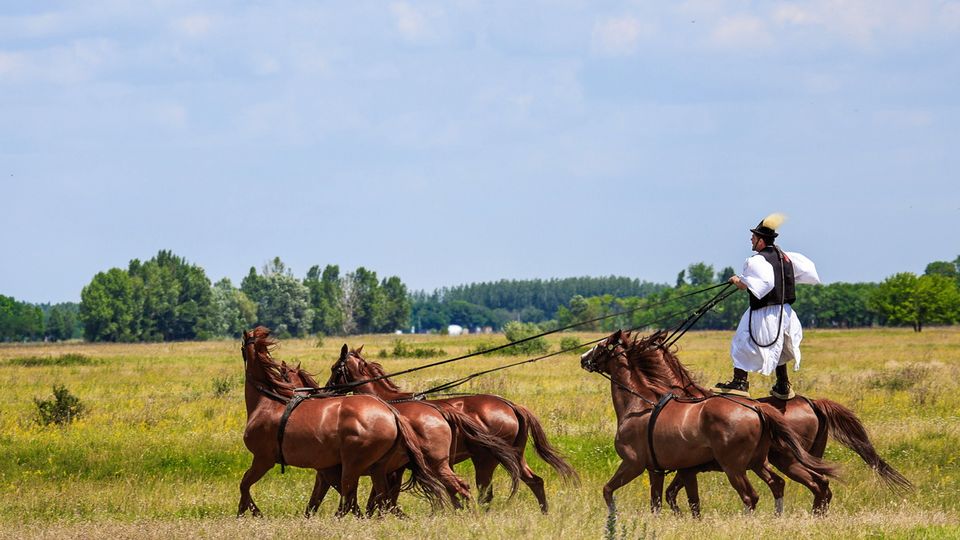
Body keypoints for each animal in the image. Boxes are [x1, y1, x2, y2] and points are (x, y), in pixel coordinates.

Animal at [240, 326, 450, 516]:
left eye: (335, 368)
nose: (329, 388)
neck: (268, 401)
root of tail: (392, 414)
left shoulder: (264, 459)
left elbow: (244, 484)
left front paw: (248, 513)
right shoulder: (324, 471)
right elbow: (319, 502)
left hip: (356, 466)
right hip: (378, 468)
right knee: (381, 498)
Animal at [326, 344, 576, 512]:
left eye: (335, 368)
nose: (327, 390)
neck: (390, 404)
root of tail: (511, 406)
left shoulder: (395, 467)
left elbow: (382, 495)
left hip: (486, 459)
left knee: (485, 492)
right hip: (514, 456)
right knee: (534, 481)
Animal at [572, 330, 836, 516]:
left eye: (603, 345)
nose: (583, 358)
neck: (640, 403)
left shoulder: (634, 464)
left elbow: (610, 491)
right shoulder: (669, 470)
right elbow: (675, 502)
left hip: (742, 466)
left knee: (755, 495)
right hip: (764, 462)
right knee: (793, 483)